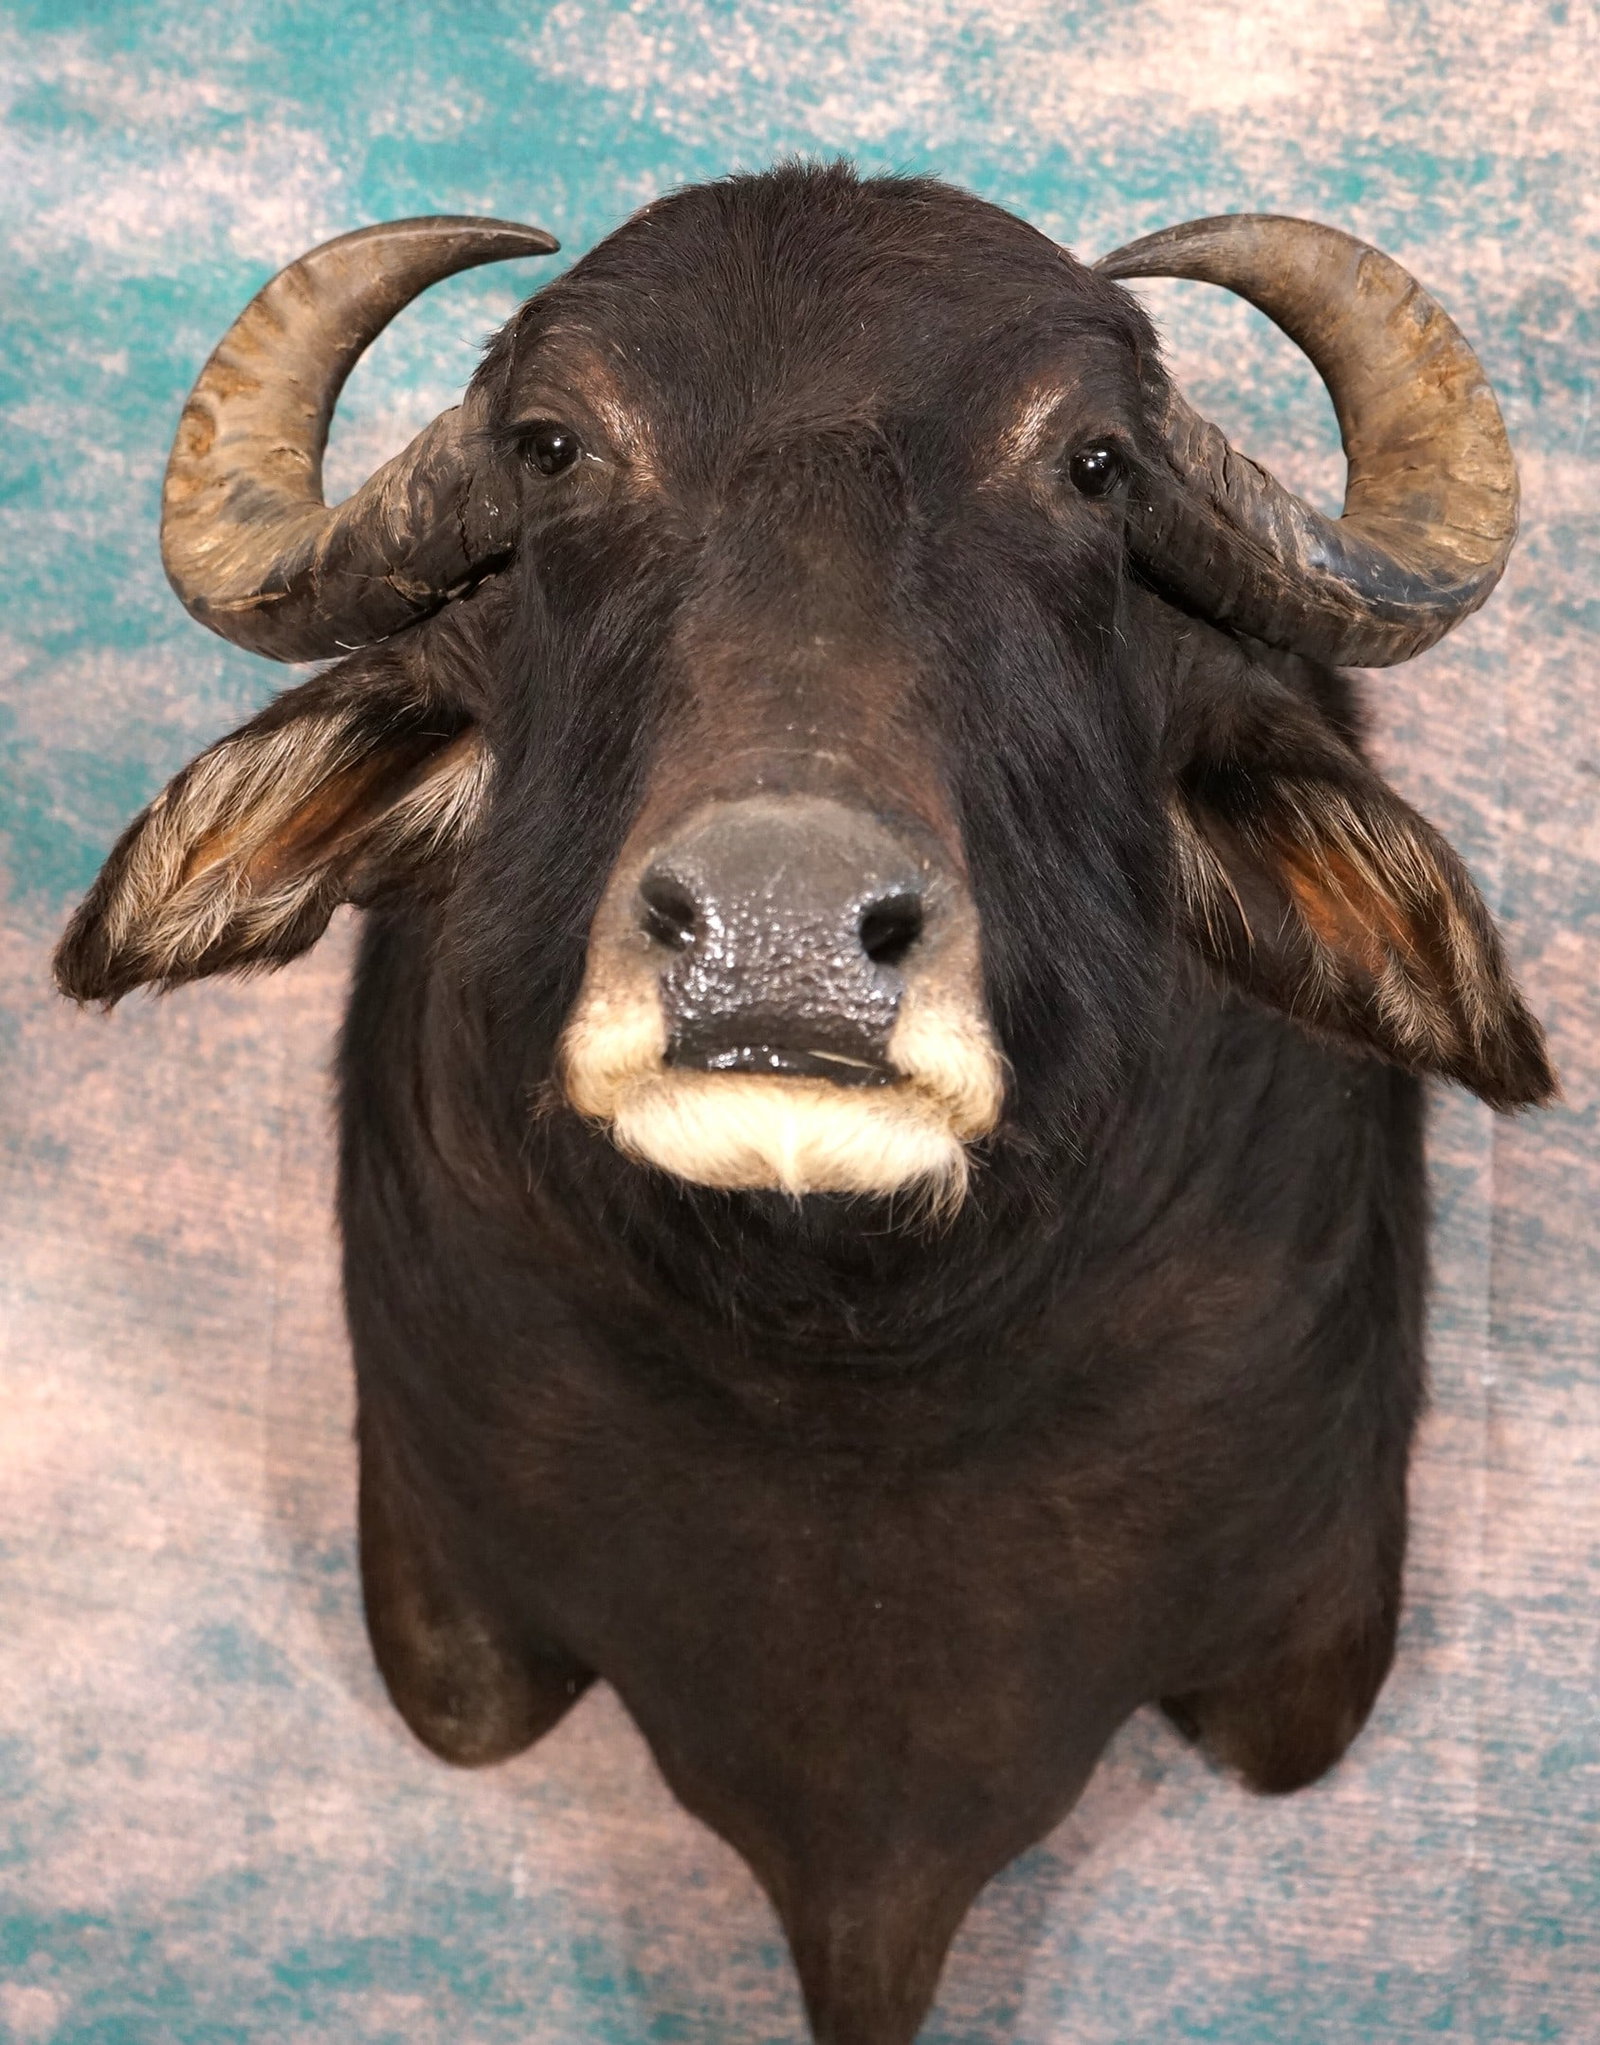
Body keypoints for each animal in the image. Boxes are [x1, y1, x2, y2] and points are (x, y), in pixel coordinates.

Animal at [56, 162, 1553, 2044]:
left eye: (1092, 465)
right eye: (554, 450)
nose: (779, 933)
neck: (849, 1366)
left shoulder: (1307, 1671)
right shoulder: (449, 1645)